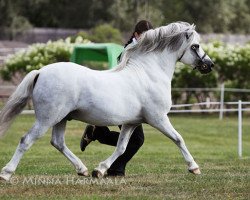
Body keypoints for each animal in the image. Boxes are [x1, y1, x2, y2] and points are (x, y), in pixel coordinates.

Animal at [0, 21, 213, 180]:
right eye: (195, 46)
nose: (209, 65)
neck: (148, 73)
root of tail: (41, 72)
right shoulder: (158, 118)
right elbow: (178, 138)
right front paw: (194, 167)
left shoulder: (131, 123)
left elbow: (122, 147)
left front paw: (100, 170)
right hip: (47, 118)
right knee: (26, 140)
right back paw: (6, 173)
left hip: (61, 119)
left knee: (58, 142)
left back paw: (83, 169)